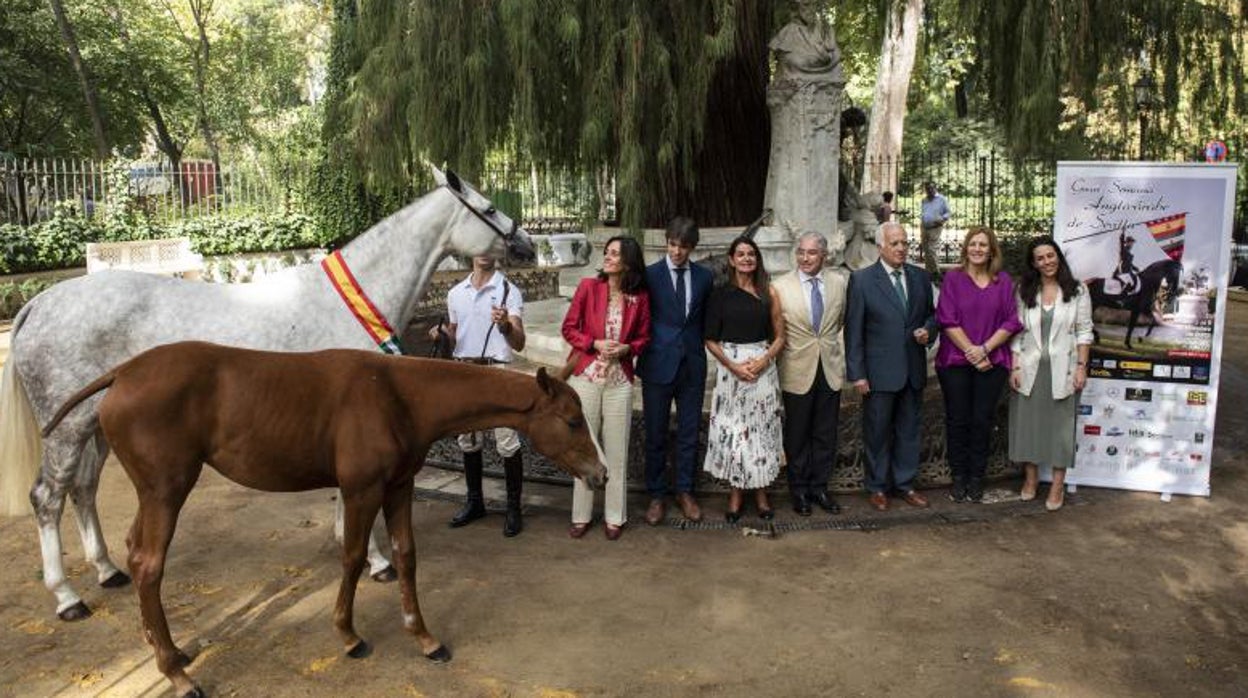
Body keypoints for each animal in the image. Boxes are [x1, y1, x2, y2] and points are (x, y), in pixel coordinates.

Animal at [39, 342, 604, 694]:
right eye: (573, 420)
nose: (600, 474)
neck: (398, 395)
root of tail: (122, 373)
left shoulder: (397, 487)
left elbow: (406, 556)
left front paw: (424, 638)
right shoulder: (361, 490)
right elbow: (353, 557)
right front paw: (349, 636)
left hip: (155, 493)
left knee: (136, 554)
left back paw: (170, 651)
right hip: (165, 490)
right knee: (148, 563)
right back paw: (174, 674)